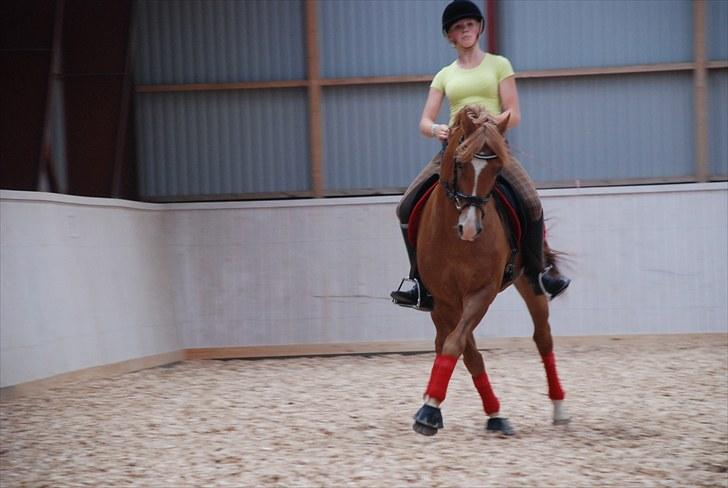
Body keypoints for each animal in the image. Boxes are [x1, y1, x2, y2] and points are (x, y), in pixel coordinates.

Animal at [411, 105, 570, 436]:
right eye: (459, 164)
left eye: (498, 170)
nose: (470, 228)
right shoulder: (443, 300)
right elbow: (465, 350)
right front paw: (435, 407)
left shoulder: (482, 293)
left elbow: (456, 343)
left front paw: (430, 409)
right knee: (441, 340)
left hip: (529, 281)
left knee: (543, 337)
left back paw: (559, 407)